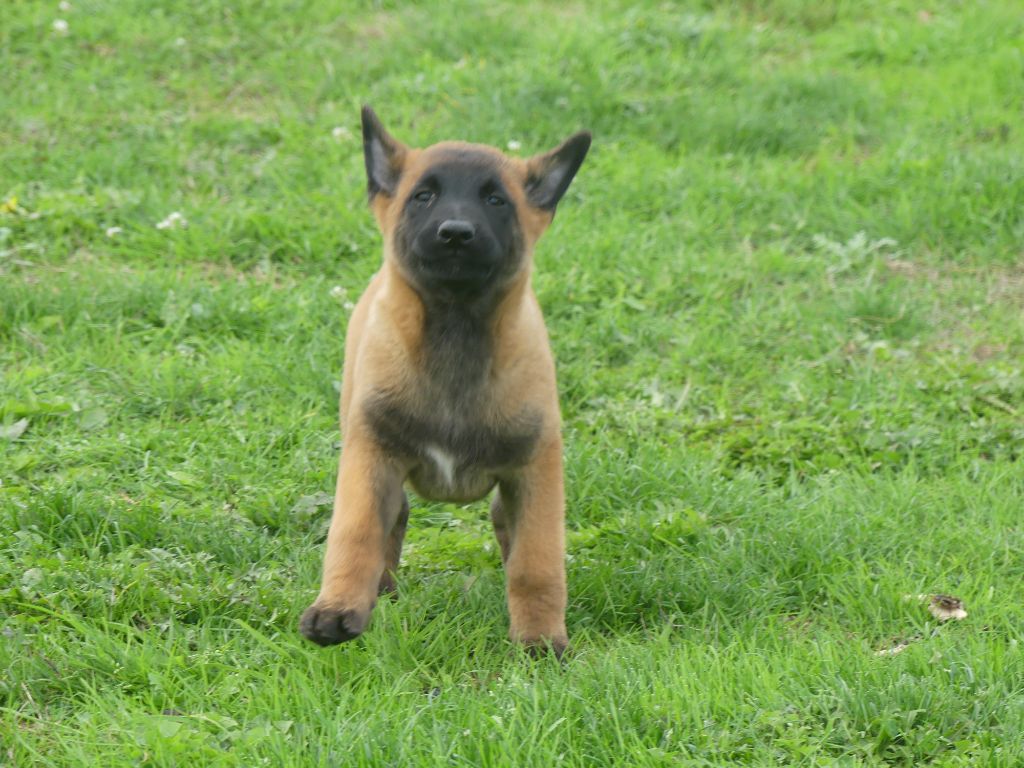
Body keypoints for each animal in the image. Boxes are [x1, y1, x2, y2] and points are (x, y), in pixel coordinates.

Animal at [299, 107, 590, 656]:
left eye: (496, 200)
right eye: (423, 196)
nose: (455, 233)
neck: (455, 328)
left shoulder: (535, 471)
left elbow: (536, 563)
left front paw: (540, 639)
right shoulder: (371, 456)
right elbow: (356, 534)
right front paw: (339, 608)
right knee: (393, 521)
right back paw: (379, 592)